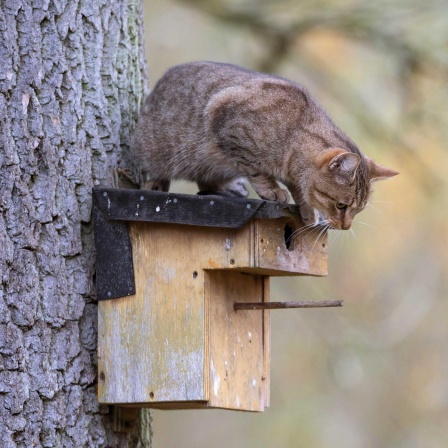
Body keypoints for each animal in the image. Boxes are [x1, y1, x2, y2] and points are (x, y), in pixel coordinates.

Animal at [131, 62, 398, 231]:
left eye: (358, 211)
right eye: (341, 206)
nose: (346, 226)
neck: (292, 136)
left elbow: (299, 190)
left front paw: (307, 210)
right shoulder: (226, 121)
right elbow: (256, 169)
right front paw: (272, 190)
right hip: (156, 147)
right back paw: (156, 182)